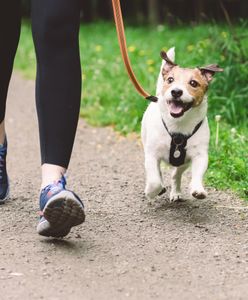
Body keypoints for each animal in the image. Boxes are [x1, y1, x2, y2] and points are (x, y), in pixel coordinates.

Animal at [141, 48, 223, 202]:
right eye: (170, 80)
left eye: (193, 83)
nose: (176, 91)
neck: (178, 125)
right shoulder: (152, 154)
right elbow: (154, 180)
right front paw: (151, 191)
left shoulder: (199, 155)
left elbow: (197, 173)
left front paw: (198, 189)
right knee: (159, 173)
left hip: (183, 162)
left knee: (176, 174)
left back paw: (176, 192)